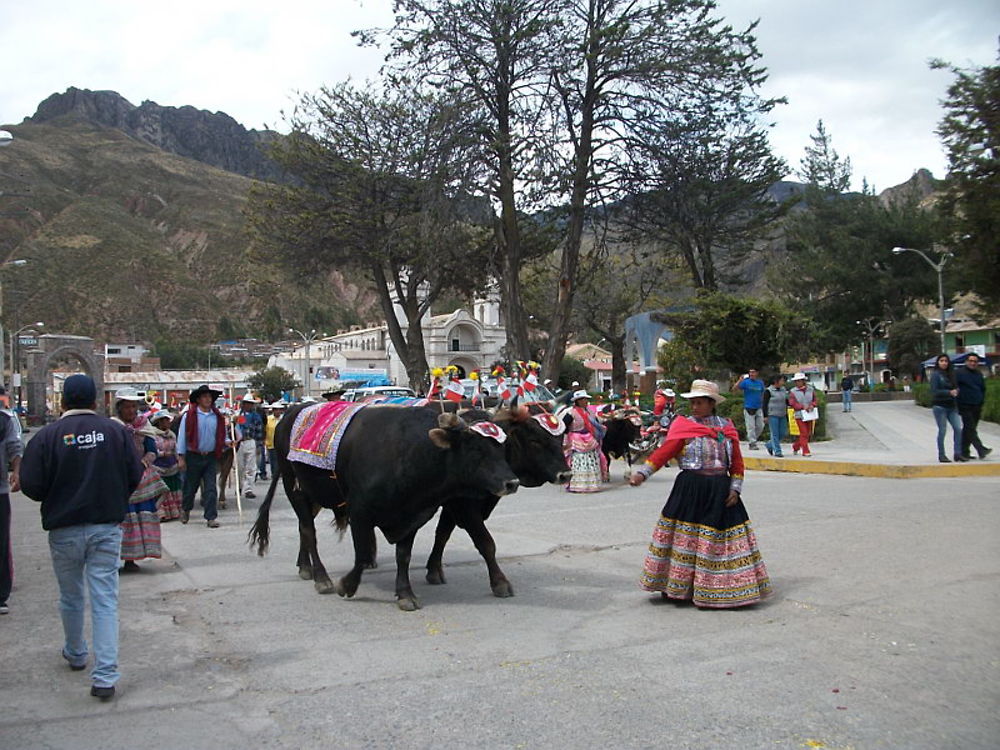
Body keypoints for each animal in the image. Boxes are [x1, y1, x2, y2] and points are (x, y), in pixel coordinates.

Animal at [249, 406, 572, 612]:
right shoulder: (363, 511)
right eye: (535, 440)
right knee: (308, 530)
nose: (566, 474)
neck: (412, 451)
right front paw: (348, 585)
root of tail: (292, 413)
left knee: (304, 530)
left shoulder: (418, 513)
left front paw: (412, 588)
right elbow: (485, 542)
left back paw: (304, 566)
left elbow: (414, 550)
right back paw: (321, 577)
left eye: (560, 439)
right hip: (295, 488)